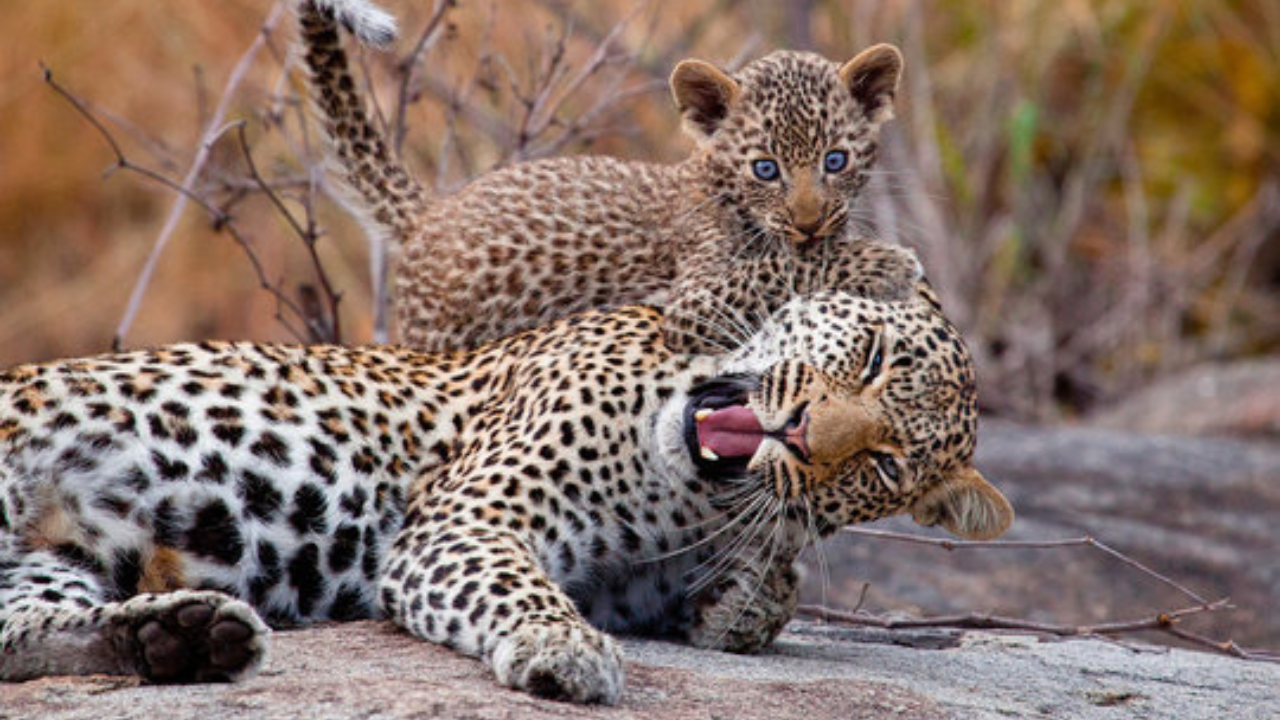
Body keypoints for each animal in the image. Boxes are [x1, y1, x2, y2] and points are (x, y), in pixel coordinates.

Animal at [0, 290, 1012, 704]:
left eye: (882, 465)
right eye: (872, 356)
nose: (804, 434)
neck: (684, 498)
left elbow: (753, 595)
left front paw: (746, 599)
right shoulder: (468, 517)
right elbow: (516, 585)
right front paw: (563, 648)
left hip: (50, 560)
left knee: (17, 637)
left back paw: (176, 639)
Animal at [300, 0, 926, 354]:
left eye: (835, 161)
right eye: (765, 169)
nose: (809, 222)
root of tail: (433, 212)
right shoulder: (694, 300)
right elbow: (780, 271)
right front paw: (887, 262)